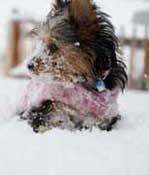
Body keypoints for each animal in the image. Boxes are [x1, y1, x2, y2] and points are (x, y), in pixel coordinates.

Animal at [19, 0, 127, 132]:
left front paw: (89, 124)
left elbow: (99, 120)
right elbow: (53, 112)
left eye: (53, 47)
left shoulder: (107, 110)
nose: (29, 65)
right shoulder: (45, 103)